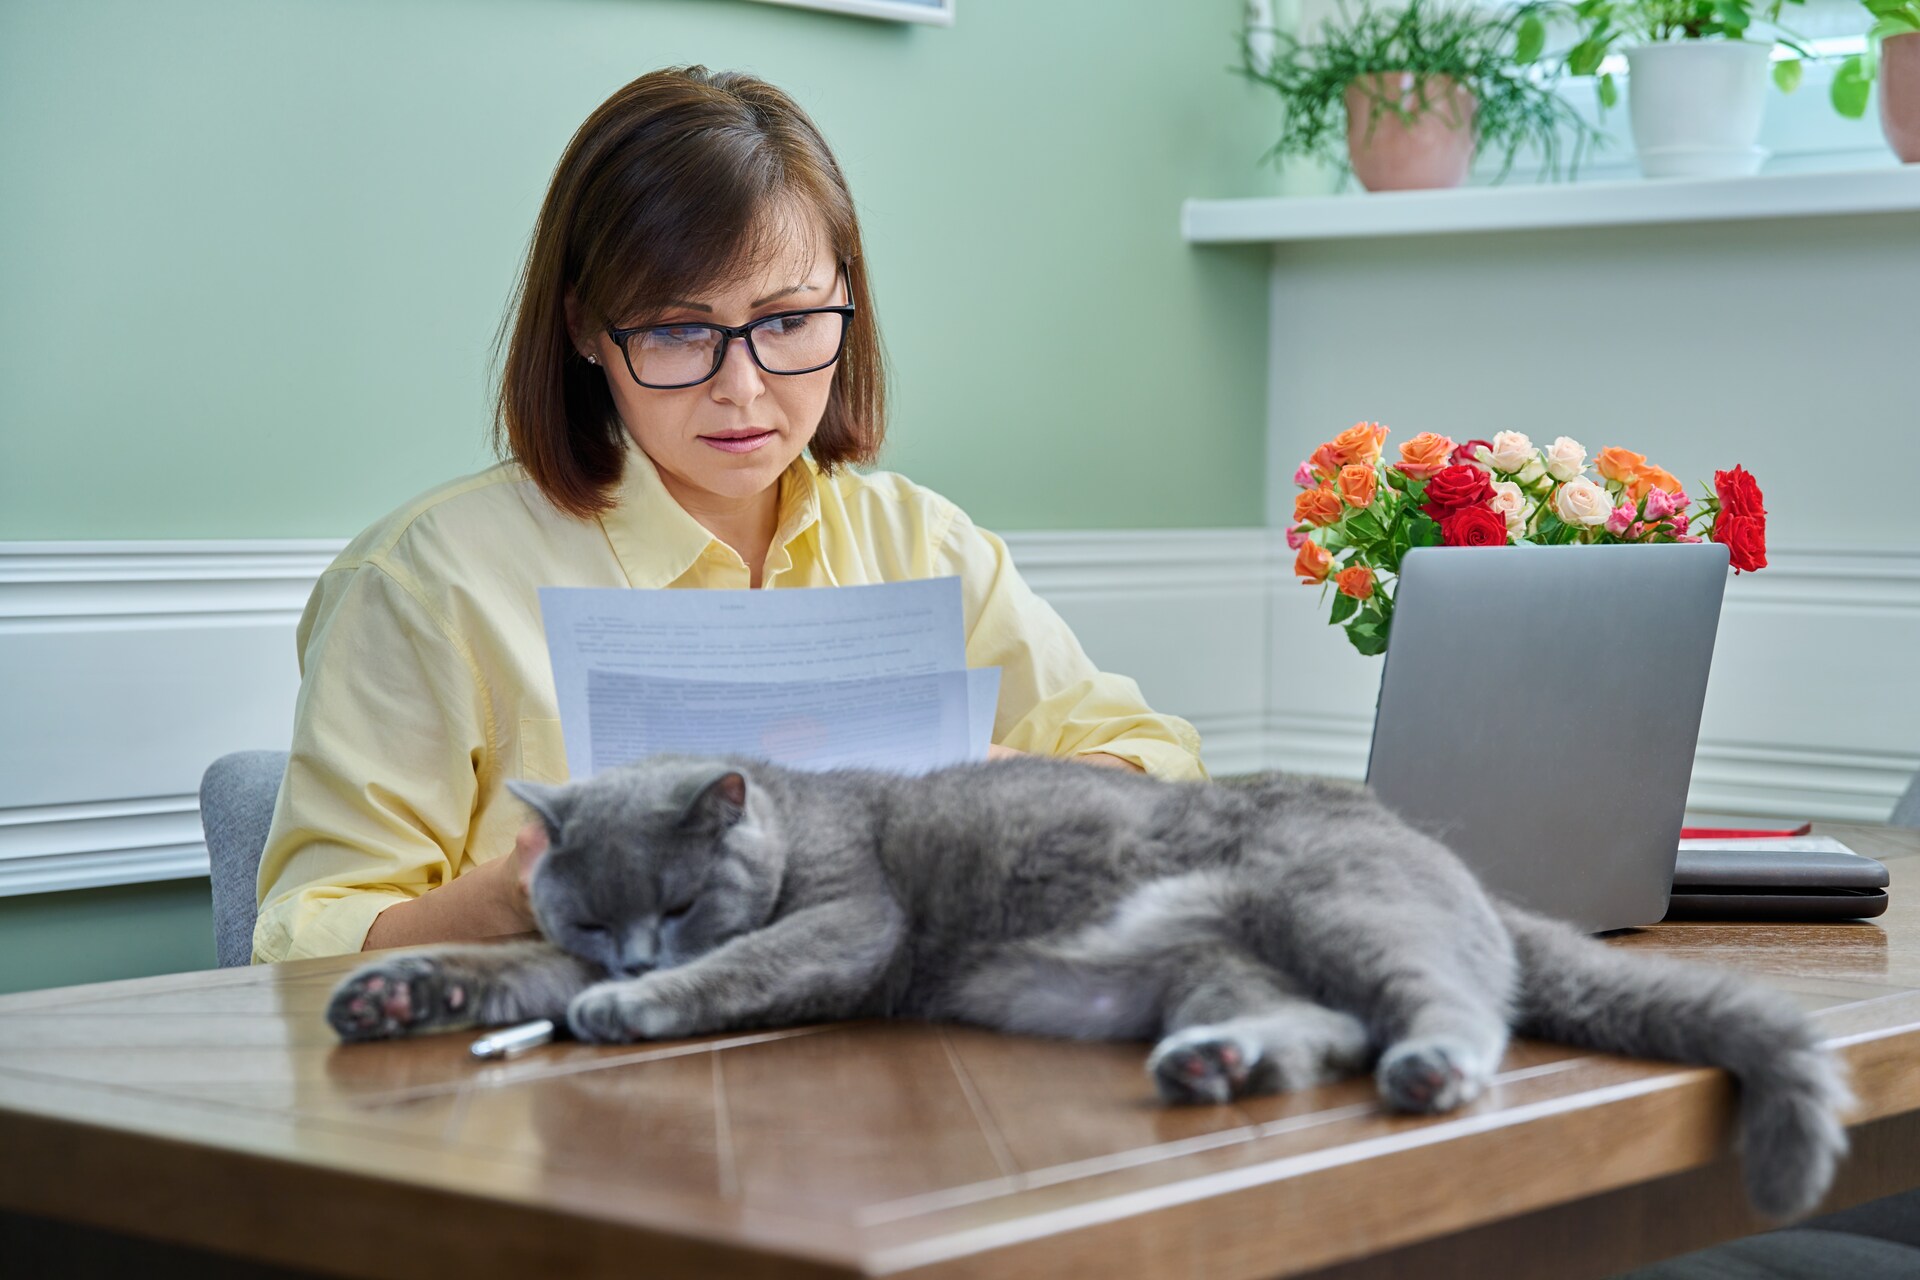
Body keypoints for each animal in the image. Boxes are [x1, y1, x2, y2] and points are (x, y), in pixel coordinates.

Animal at [322, 756, 1850, 1220]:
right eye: (592, 907)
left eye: (683, 902)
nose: (635, 959)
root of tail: (1447, 858)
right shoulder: (544, 946)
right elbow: (496, 965)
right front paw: (390, 995)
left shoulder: (847, 922)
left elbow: (754, 962)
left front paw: (628, 1011)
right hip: (1217, 956)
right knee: (1312, 1028)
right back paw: (1216, 1065)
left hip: (1342, 905)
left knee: (1454, 1011)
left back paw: (1431, 1071)